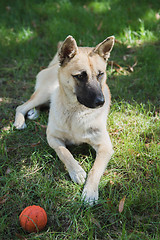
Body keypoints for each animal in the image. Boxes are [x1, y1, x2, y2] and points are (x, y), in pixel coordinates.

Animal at [13, 35, 115, 204]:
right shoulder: (52, 138)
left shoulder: (105, 147)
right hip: (45, 92)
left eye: (100, 74)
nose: (101, 102)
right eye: (80, 76)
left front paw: (90, 191)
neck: (76, 112)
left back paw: (34, 112)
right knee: (21, 107)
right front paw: (77, 172)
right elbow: (64, 153)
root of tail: (55, 64)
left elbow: (95, 170)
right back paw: (20, 121)